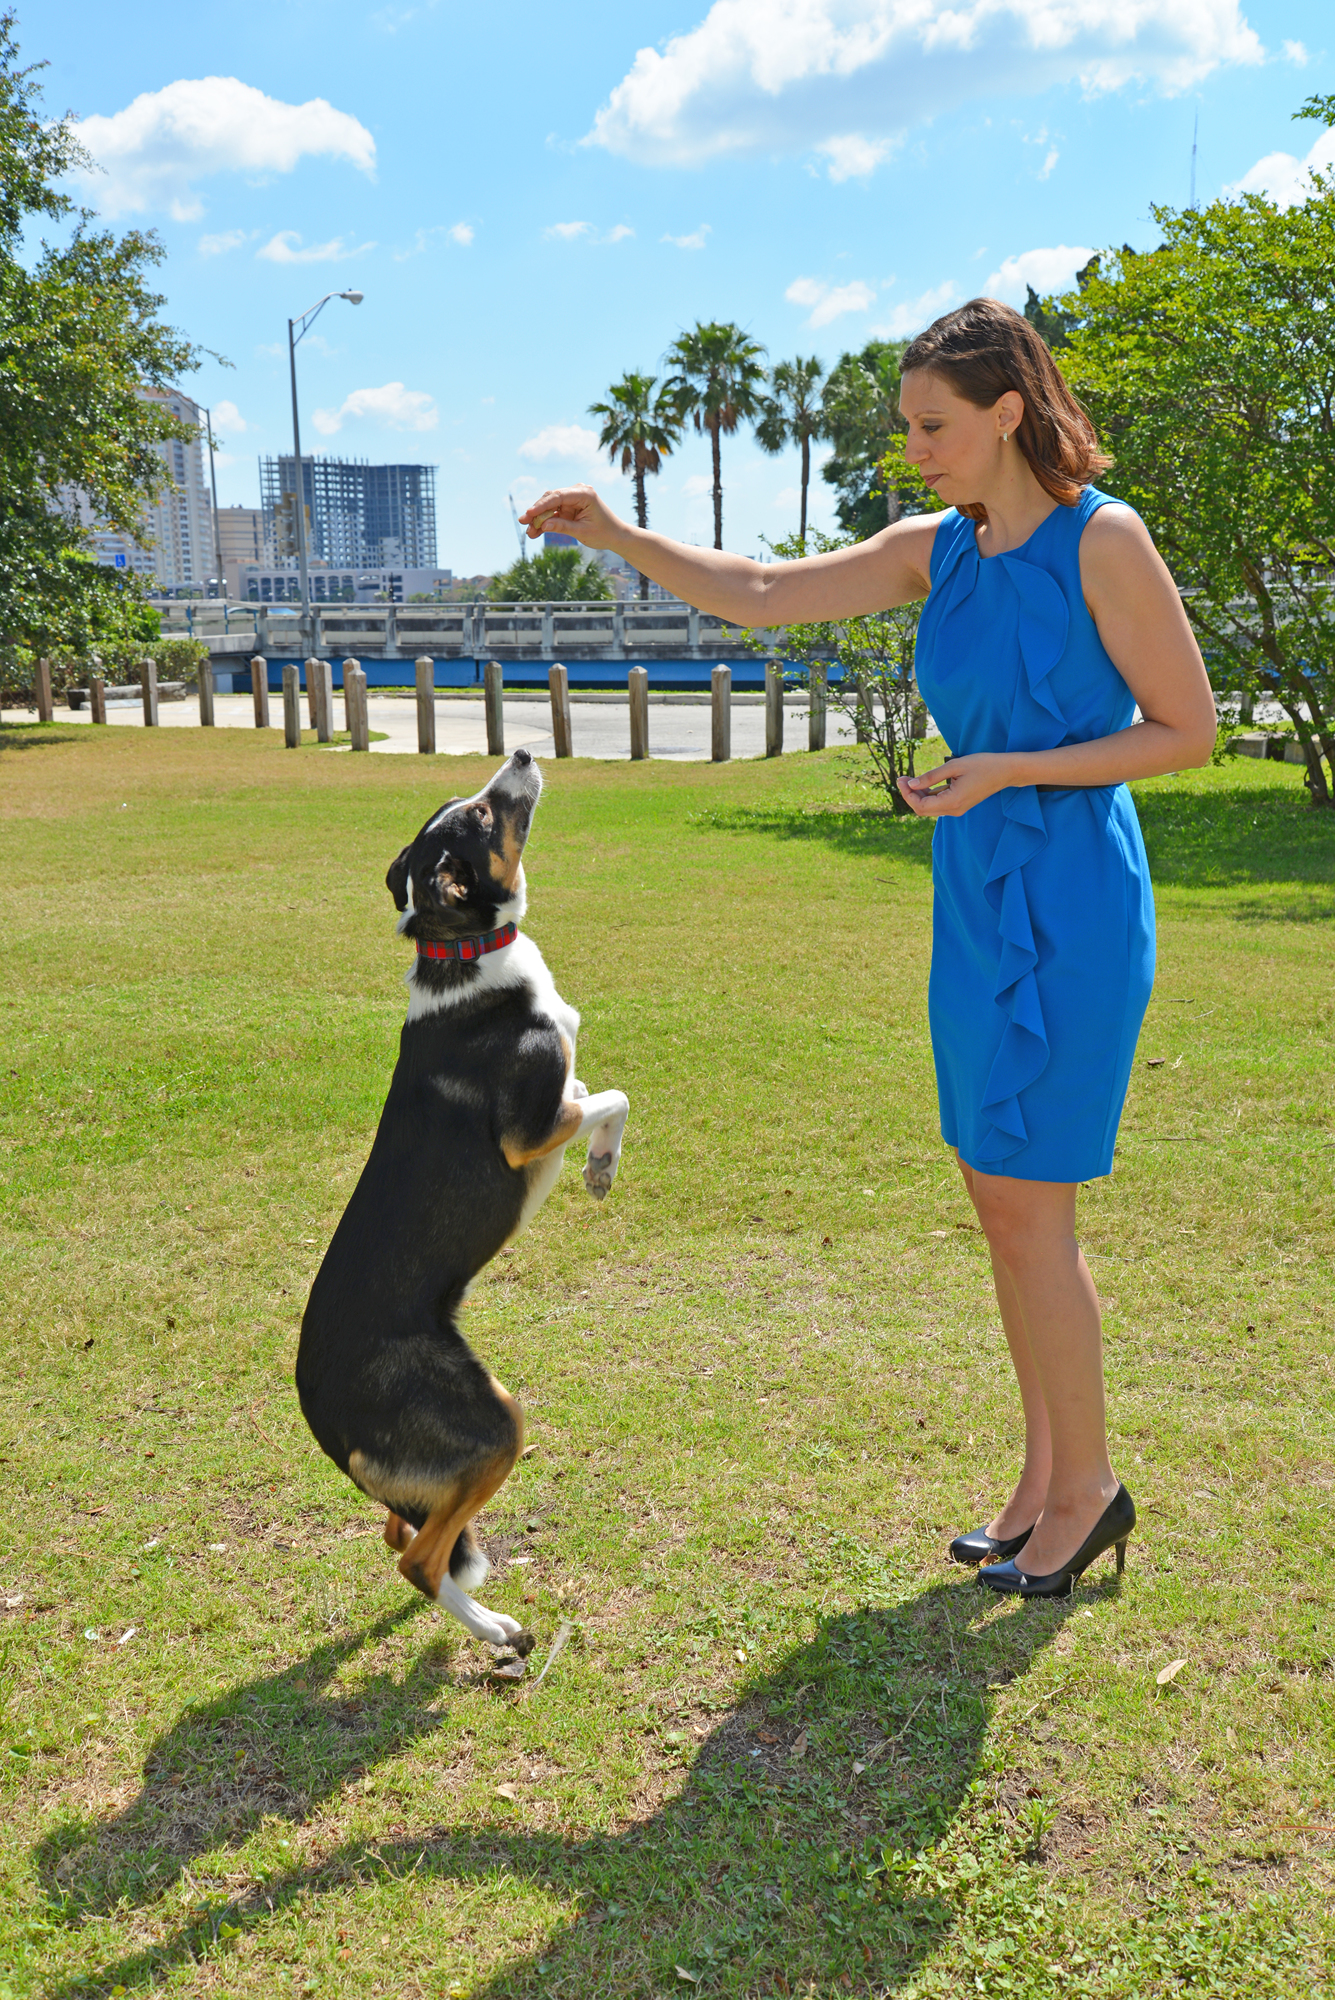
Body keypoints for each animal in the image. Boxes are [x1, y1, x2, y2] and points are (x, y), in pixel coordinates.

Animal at [299, 752, 635, 1656]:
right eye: (482, 817)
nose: (519, 755)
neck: (465, 949)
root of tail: (329, 1424)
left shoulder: (555, 1108)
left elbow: (596, 1088)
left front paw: (600, 1163)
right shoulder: (529, 1132)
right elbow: (612, 1096)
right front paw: (600, 1167)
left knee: (402, 1533)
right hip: (497, 1423)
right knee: (417, 1558)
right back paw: (496, 1635)